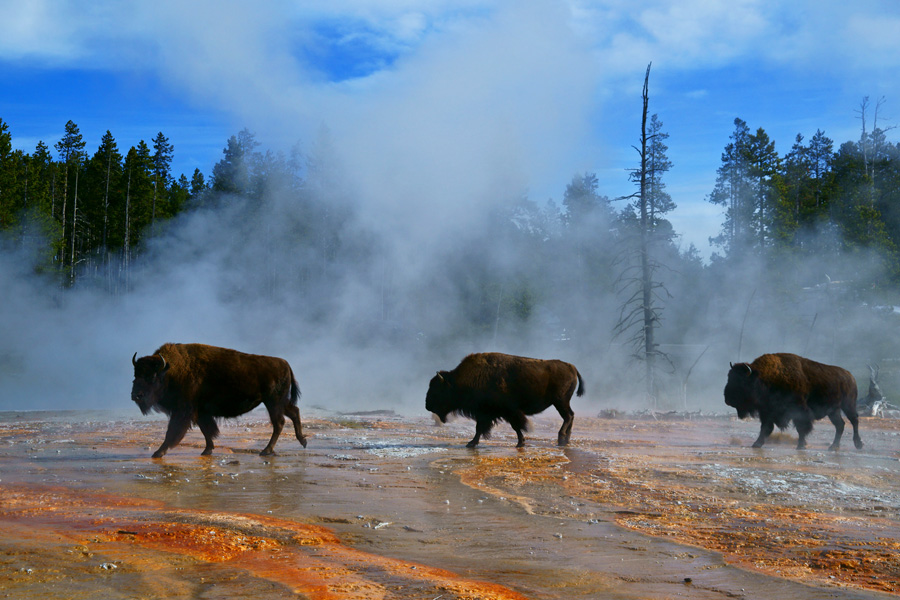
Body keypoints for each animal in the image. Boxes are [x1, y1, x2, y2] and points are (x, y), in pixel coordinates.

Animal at [129, 342, 306, 460]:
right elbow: (206, 430)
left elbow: (173, 432)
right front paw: (207, 450)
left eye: (152, 376)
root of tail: (285, 363)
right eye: (135, 375)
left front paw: (158, 452)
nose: (136, 395)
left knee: (279, 423)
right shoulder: (200, 412)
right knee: (293, 412)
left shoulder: (184, 411)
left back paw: (267, 450)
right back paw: (302, 441)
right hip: (278, 402)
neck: (170, 371)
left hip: (273, 402)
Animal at [428, 354, 588, 448]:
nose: (427, 405)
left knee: (568, 416)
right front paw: (472, 443)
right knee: (570, 416)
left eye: (438, 389)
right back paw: (566, 440)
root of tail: (572, 367)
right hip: (562, 402)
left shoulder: (506, 411)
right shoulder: (486, 413)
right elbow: (481, 428)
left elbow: (515, 426)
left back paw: (561, 439)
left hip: (560, 402)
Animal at [720, 352, 860, 450]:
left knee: (854, 421)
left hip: (848, 405)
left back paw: (858, 444)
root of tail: (850, 376)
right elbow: (765, 428)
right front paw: (757, 444)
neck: (765, 378)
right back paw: (833, 447)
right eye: (729, 378)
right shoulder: (767, 411)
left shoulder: (799, 410)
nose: (728, 400)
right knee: (840, 425)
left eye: (741, 382)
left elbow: (801, 428)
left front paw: (800, 446)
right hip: (833, 411)